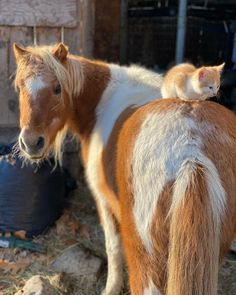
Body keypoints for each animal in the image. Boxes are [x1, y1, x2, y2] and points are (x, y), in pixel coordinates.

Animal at [13, 43, 236, 295]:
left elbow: (113, 249)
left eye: (57, 88)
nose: (31, 143)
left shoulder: (103, 202)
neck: (104, 98)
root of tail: (191, 151)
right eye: (20, 87)